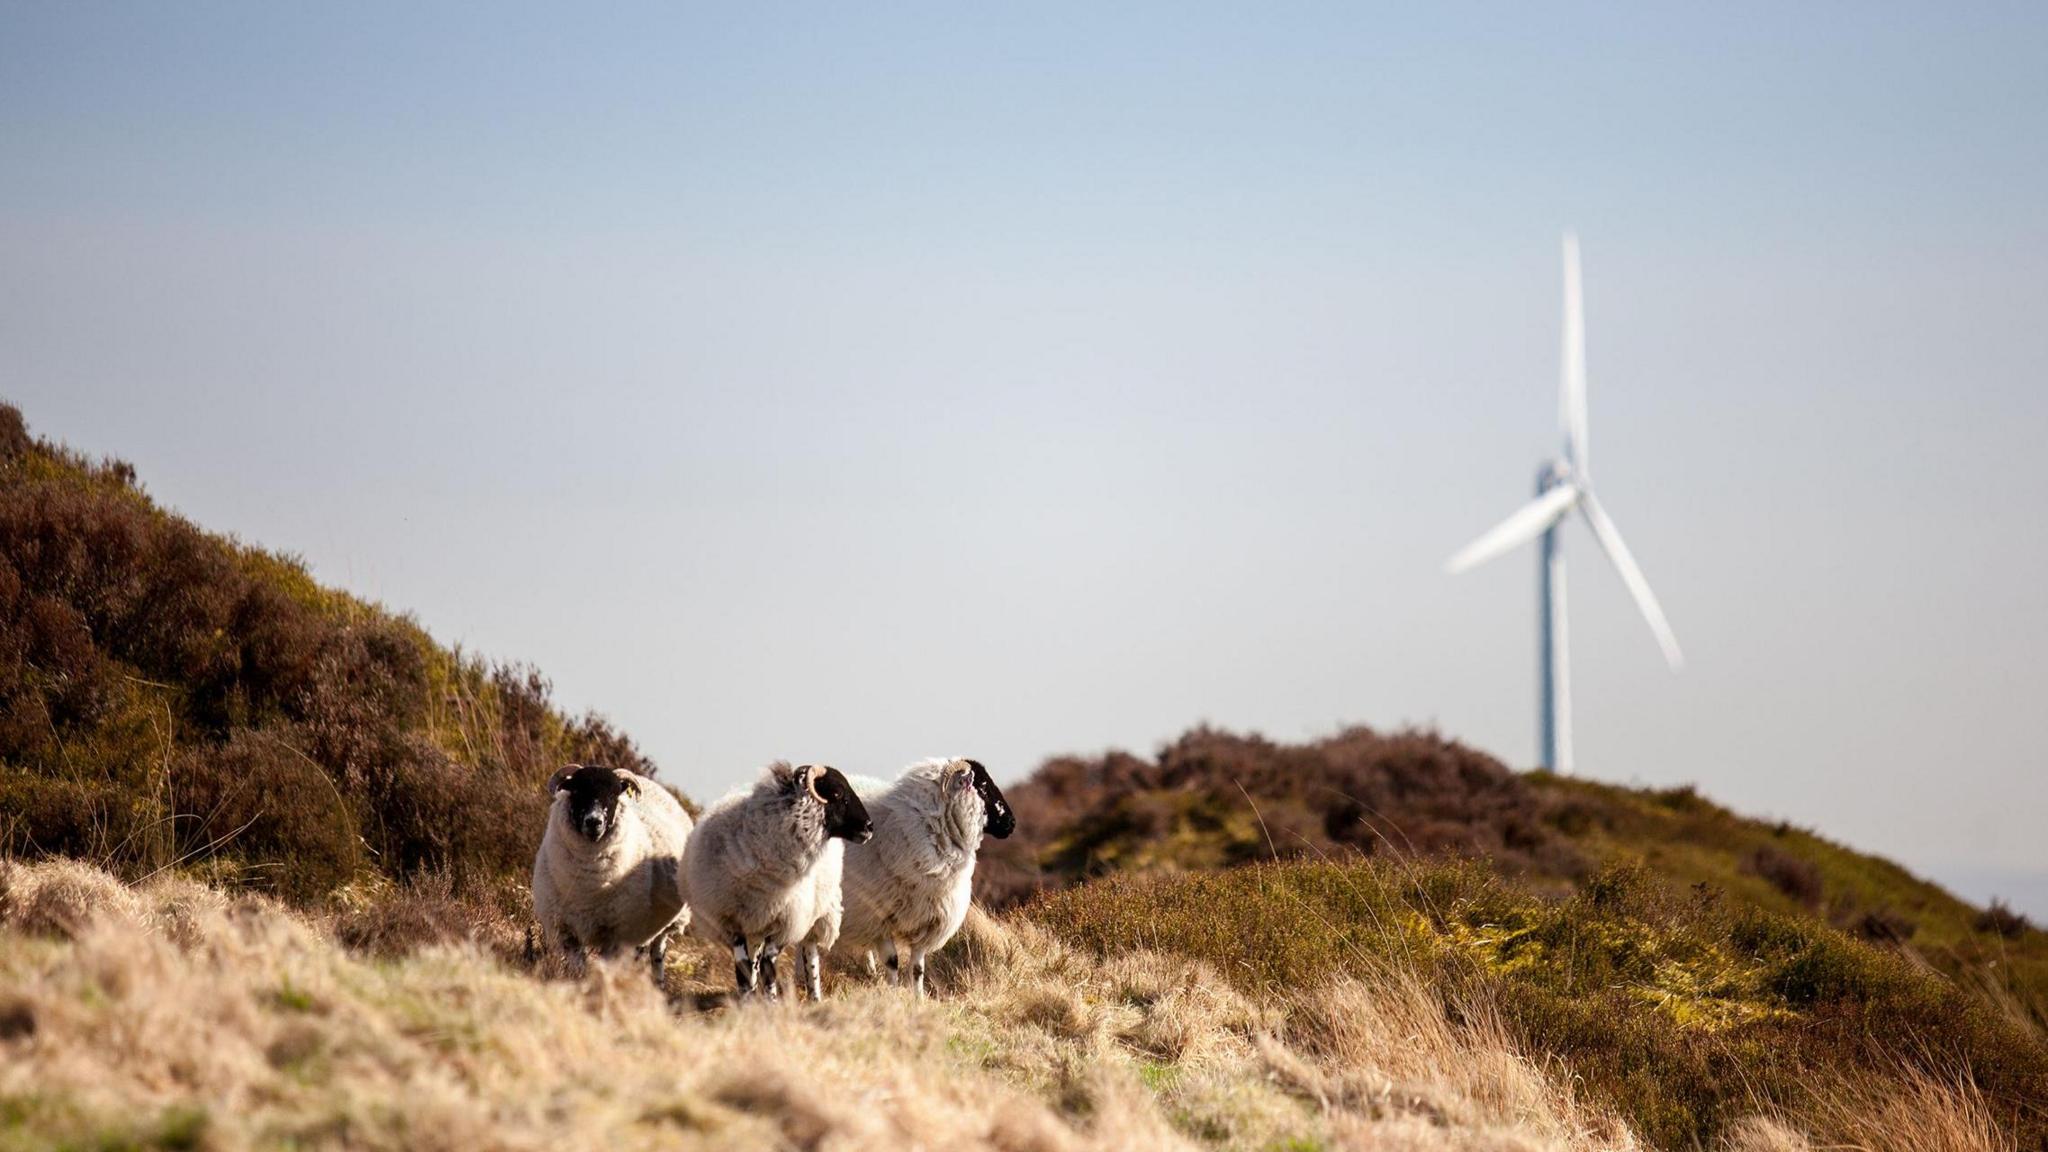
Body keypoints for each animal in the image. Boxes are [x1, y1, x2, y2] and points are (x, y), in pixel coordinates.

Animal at [536, 758, 696, 983]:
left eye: (613, 794)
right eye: (576, 790)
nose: (594, 822)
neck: (588, 888)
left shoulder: (616, 934)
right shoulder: (565, 931)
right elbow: (577, 967)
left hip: (664, 924)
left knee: (656, 951)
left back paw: (657, 982)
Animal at [679, 754, 872, 996]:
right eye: (837, 792)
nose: (869, 827)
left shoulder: (785, 924)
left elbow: (768, 967)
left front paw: (770, 999)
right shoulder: (732, 923)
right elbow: (744, 969)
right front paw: (748, 999)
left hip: (814, 917)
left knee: (810, 956)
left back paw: (814, 996)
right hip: (756, 927)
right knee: (754, 961)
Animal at [839, 758, 1015, 992]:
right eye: (984, 787)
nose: (1011, 823)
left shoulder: (928, 921)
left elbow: (917, 969)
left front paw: (918, 997)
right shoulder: (879, 918)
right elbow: (892, 962)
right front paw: (893, 994)